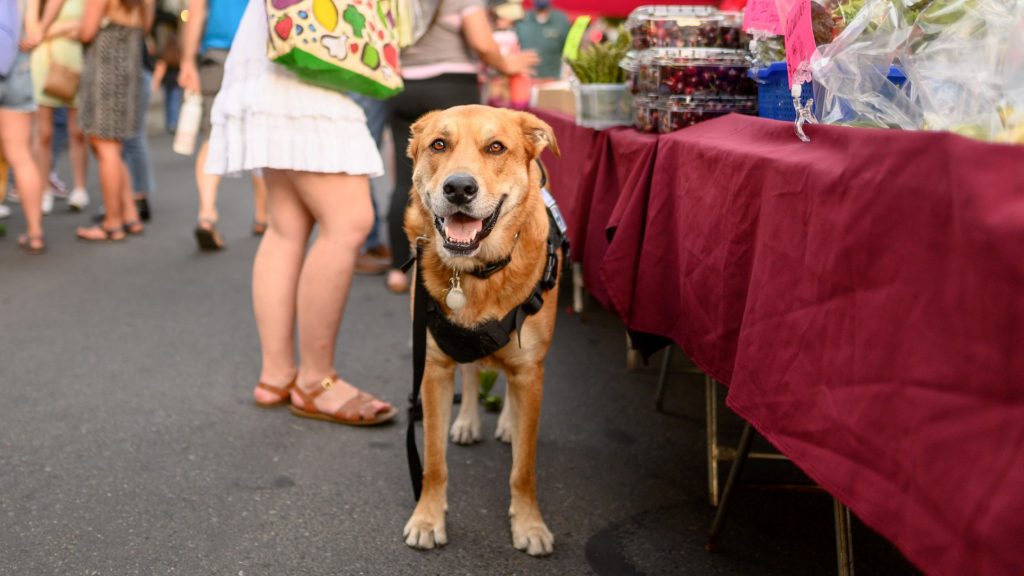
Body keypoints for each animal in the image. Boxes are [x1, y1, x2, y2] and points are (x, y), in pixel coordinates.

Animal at [399, 105, 561, 553]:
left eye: (496, 148)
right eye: (439, 144)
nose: (459, 188)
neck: (474, 273)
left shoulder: (531, 372)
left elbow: (524, 468)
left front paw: (529, 525)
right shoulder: (433, 368)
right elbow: (433, 462)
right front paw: (427, 518)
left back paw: (507, 422)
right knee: (472, 372)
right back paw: (469, 421)